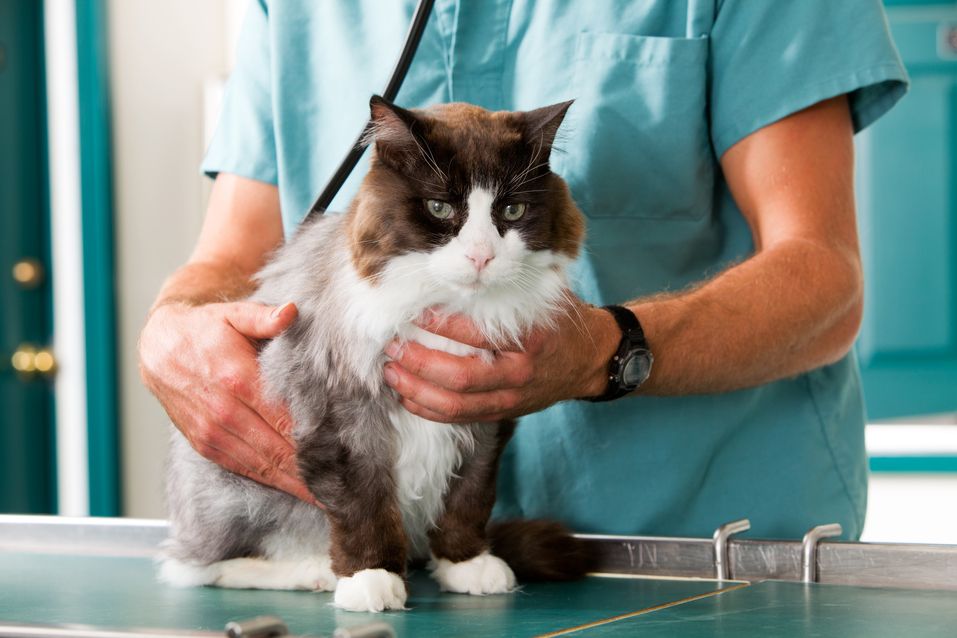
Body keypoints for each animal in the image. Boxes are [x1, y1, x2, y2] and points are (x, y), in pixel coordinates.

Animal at [162, 96, 592, 616]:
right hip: (237, 494)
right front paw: (371, 579)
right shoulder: (344, 417)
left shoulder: (486, 418)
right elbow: (364, 506)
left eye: (511, 209)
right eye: (438, 207)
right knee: (198, 567)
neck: (449, 307)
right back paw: (313, 572)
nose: (480, 257)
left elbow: (468, 497)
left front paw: (465, 563)